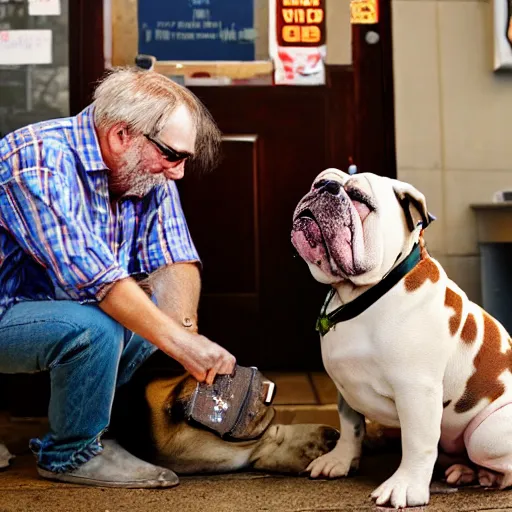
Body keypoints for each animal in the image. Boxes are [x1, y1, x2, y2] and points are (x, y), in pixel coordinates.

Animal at [294, 169, 512, 508]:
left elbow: (417, 442)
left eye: (359, 199)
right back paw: (466, 472)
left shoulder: (416, 391)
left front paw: (406, 487)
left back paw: (488, 476)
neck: (360, 295)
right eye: (318, 183)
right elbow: (350, 426)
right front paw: (340, 461)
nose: (326, 187)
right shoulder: (345, 386)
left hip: (485, 435)